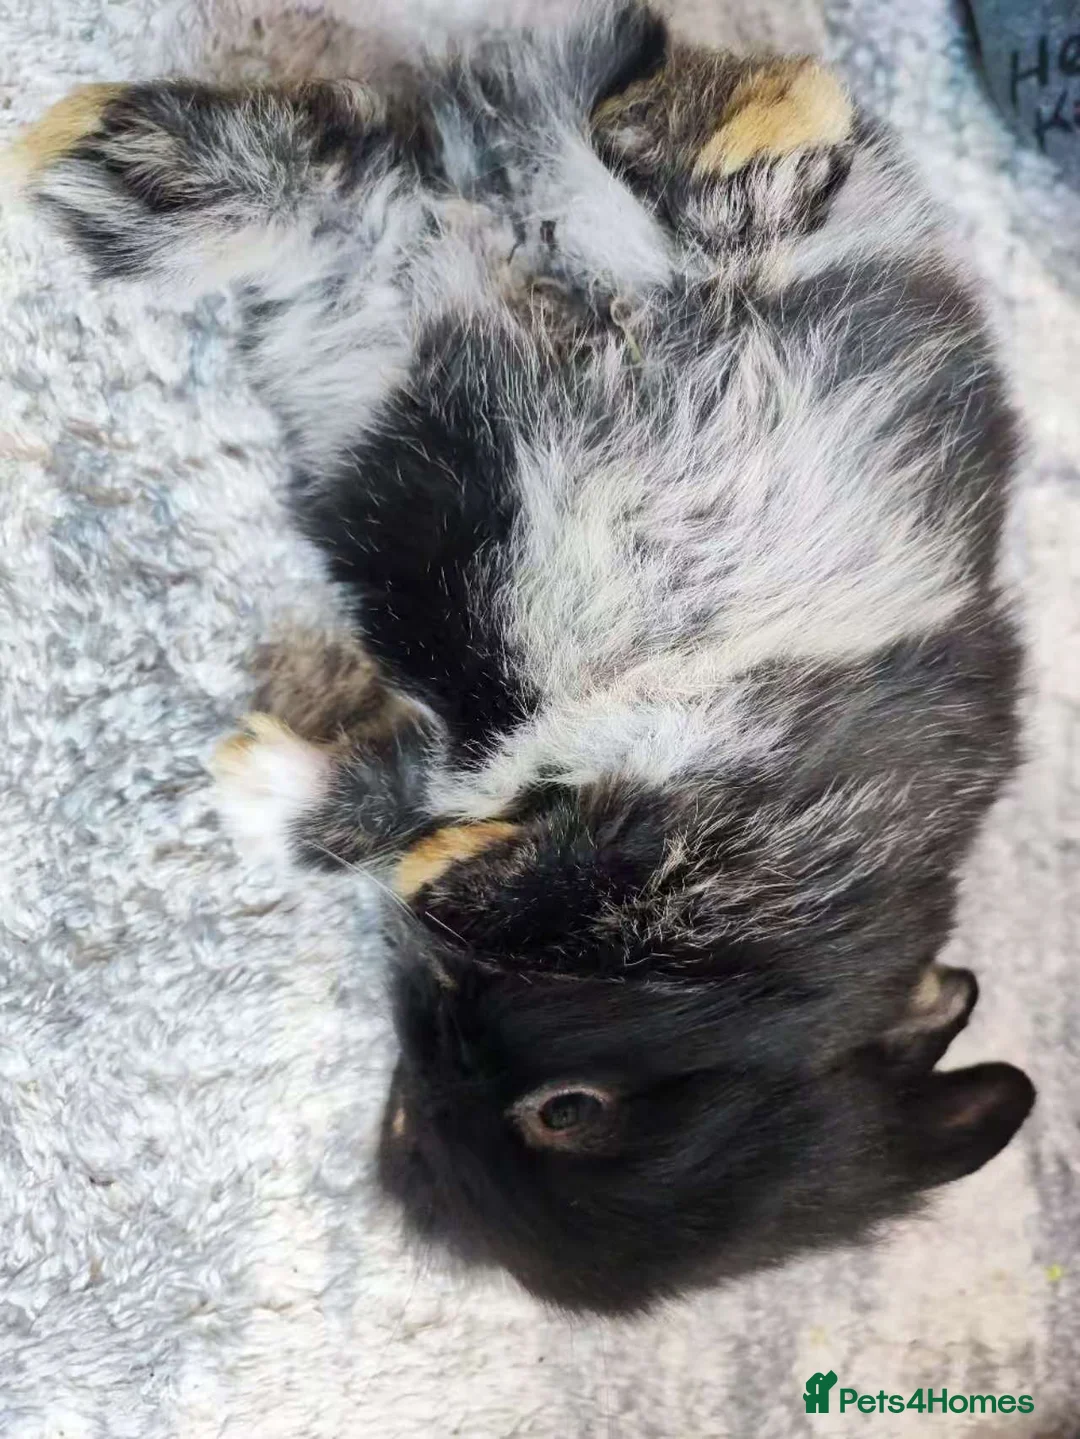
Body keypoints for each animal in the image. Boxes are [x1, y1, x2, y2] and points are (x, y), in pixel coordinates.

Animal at [10, 0, 1034, 1314]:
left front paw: (264, 786)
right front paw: (411, 856)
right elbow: (536, 857)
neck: (772, 984)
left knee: (340, 190)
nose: (422, 1084)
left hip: (372, 328)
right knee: (720, 181)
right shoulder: (721, 837)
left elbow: (425, 813)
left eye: (561, 1114)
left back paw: (111, 163)